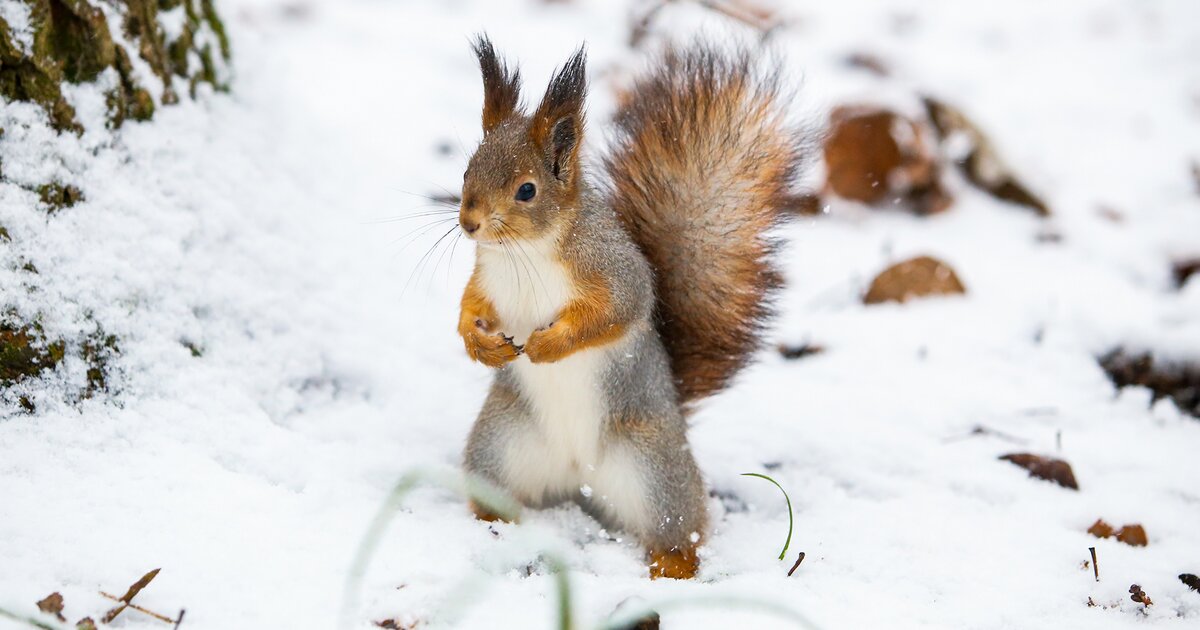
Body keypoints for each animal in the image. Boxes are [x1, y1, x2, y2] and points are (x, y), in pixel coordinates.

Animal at [453, 35, 801, 580]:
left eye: (527, 190)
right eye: (468, 168)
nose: (468, 223)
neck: (524, 252)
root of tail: (577, 478)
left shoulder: (617, 274)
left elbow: (614, 313)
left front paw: (551, 345)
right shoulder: (487, 278)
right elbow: (470, 307)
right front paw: (479, 343)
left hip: (654, 469)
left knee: (681, 529)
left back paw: (670, 566)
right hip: (499, 447)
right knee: (497, 494)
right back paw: (493, 524)